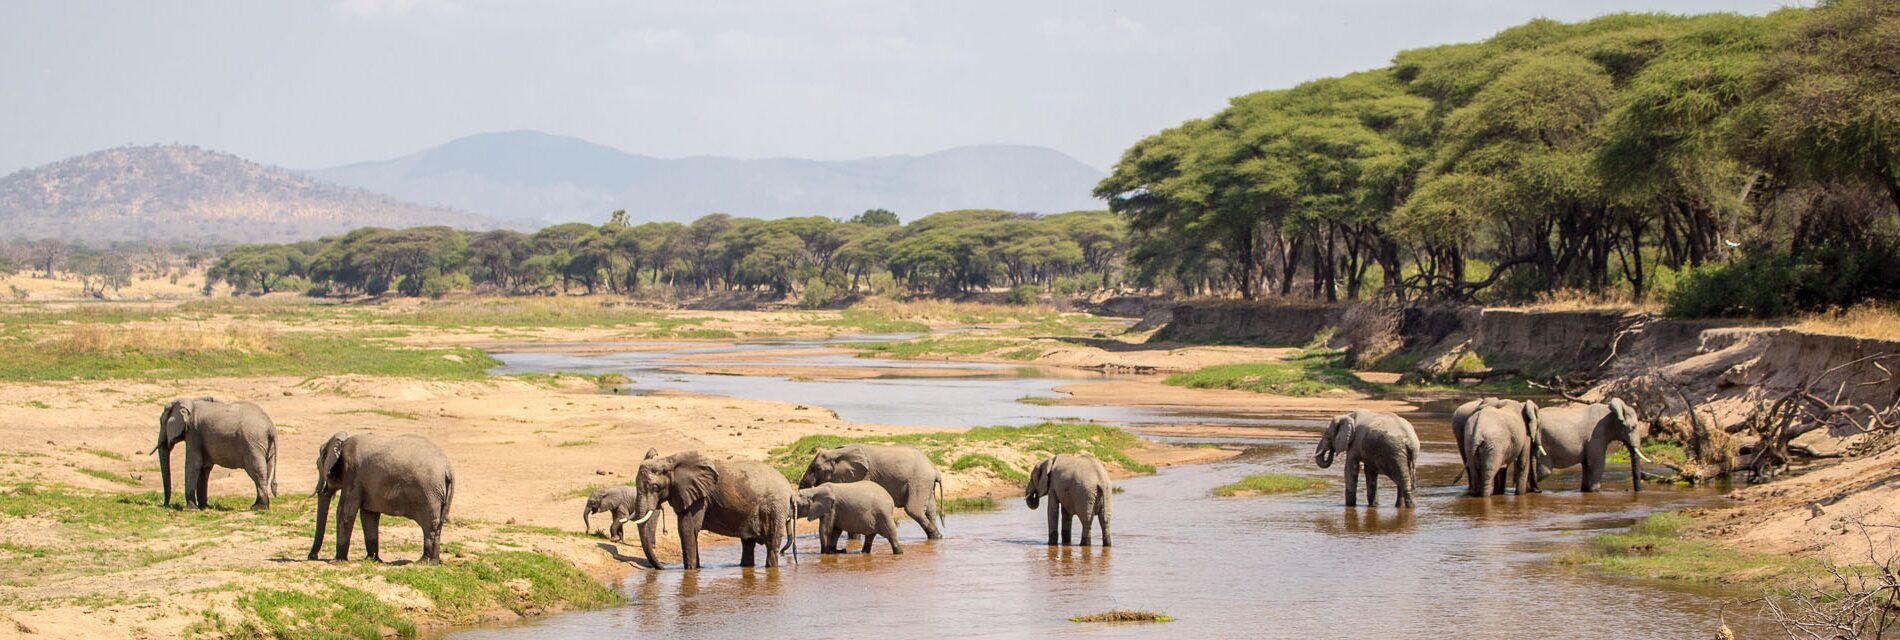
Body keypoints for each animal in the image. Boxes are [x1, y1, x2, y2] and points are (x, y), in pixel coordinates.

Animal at [307, 432, 455, 564]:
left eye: (317, 467)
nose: (312, 557)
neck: (342, 442)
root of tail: (448, 469)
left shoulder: (352, 473)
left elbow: (345, 512)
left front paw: (337, 561)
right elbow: (369, 515)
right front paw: (372, 559)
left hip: (430, 494)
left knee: (429, 526)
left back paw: (423, 562)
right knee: (437, 527)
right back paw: (434, 562)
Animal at [620, 450, 792, 570]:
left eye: (655, 487)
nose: (662, 567)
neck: (670, 460)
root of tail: (788, 487)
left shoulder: (698, 498)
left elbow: (687, 528)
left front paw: (691, 571)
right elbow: (690, 530)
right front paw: (696, 568)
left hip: (775, 508)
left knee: (772, 544)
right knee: (748, 543)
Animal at [797, 443, 943, 539]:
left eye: (816, 468)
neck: (837, 452)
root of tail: (934, 468)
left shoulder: (863, 474)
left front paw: (854, 540)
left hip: (919, 480)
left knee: (913, 509)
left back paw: (937, 536)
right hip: (925, 482)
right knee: (930, 510)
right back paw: (936, 537)